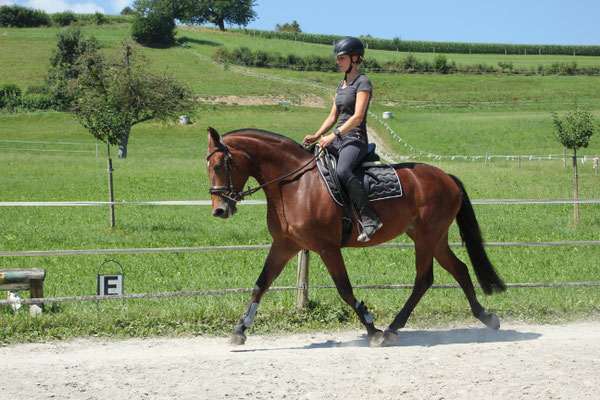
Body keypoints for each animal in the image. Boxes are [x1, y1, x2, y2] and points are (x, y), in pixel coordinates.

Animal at [204, 126, 504, 346]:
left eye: (219, 166)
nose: (219, 210)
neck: (294, 185)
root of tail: (446, 177)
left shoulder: (327, 248)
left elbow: (345, 290)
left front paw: (372, 329)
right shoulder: (285, 245)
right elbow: (260, 284)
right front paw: (240, 329)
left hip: (426, 238)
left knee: (424, 279)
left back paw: (392, 328)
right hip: (434, 238)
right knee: (460, 269)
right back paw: (486, 317)